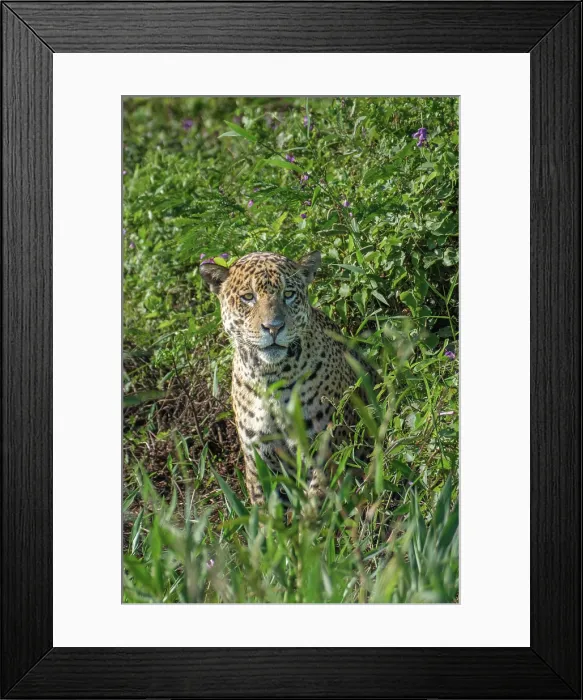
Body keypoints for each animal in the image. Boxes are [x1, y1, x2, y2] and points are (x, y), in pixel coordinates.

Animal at [200, 250, 369, 505]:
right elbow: (266, 511)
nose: (273, 327)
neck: (270, 377)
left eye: (288, 294)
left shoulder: (325, 452)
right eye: (248, 297)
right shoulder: (259, 463)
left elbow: (318, 504)